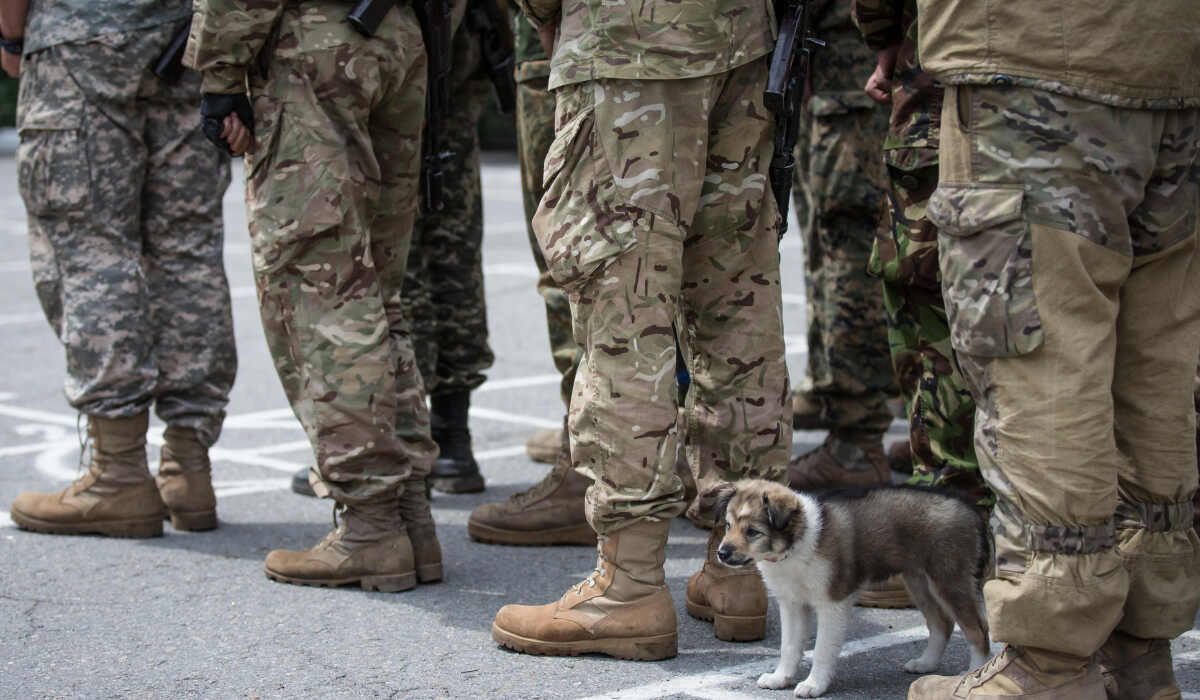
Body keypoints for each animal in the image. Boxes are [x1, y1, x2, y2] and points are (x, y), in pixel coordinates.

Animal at [715, 480, 988, 696]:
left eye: (753, 532)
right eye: (728, 526)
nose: (721, 554)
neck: (796, 546)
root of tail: (970, 508)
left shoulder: (832, 603)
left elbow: (822, 649)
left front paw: (813, 685)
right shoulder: (792, 603)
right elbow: (789, 646)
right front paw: (780, 678)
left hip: (949, 580)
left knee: (977, 630)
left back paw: (974, 672)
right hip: (919, 582)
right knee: (942, 623)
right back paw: (926, 664)